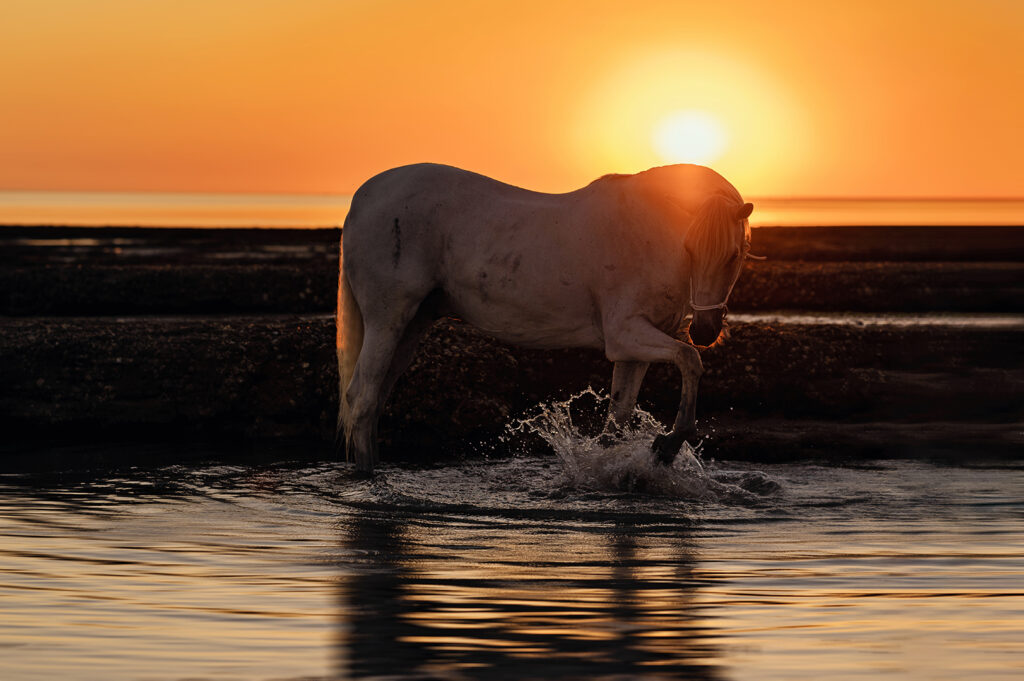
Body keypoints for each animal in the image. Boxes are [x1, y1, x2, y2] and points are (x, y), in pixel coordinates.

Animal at [335, 163, 753, 473]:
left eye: (735, 254)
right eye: (692, 248)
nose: (705, 330)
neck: (647, 228)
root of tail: (362, 199)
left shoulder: (633, 351)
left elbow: (616, 419)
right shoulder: (625, 333)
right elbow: (689, 359)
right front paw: (667, 444)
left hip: (413, 325)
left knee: (375, 399)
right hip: (388, 319)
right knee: (363, 398)